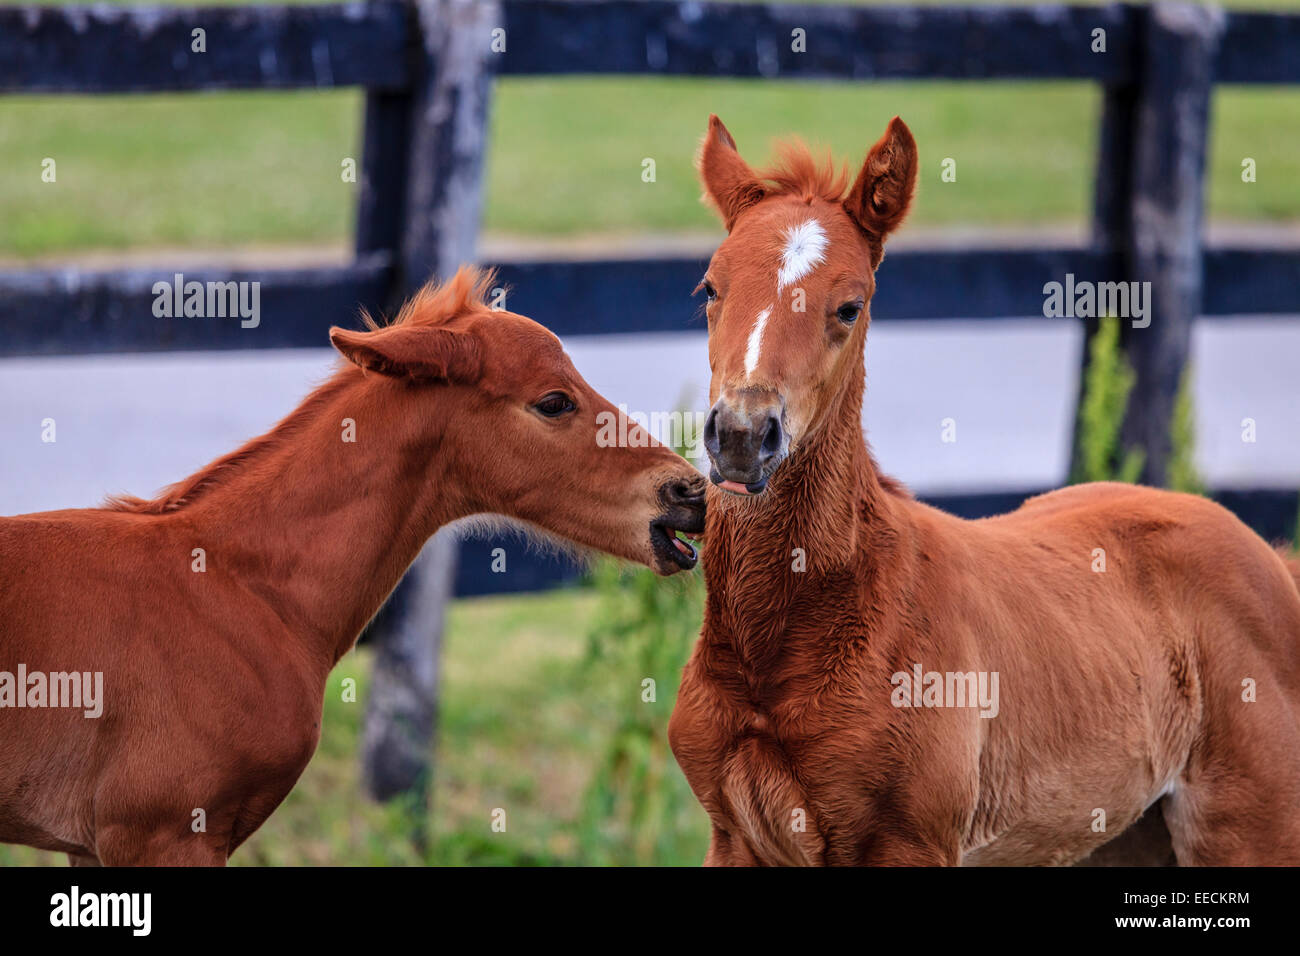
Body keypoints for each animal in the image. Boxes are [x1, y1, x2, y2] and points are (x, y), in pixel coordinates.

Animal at [670, 113, 1300, 868]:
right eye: (709, 289)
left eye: (849, 307)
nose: (740, 434)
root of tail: (1270, 559)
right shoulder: (734, 837)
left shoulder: (911, 843)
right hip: (1122, 835)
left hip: (1252, 829)